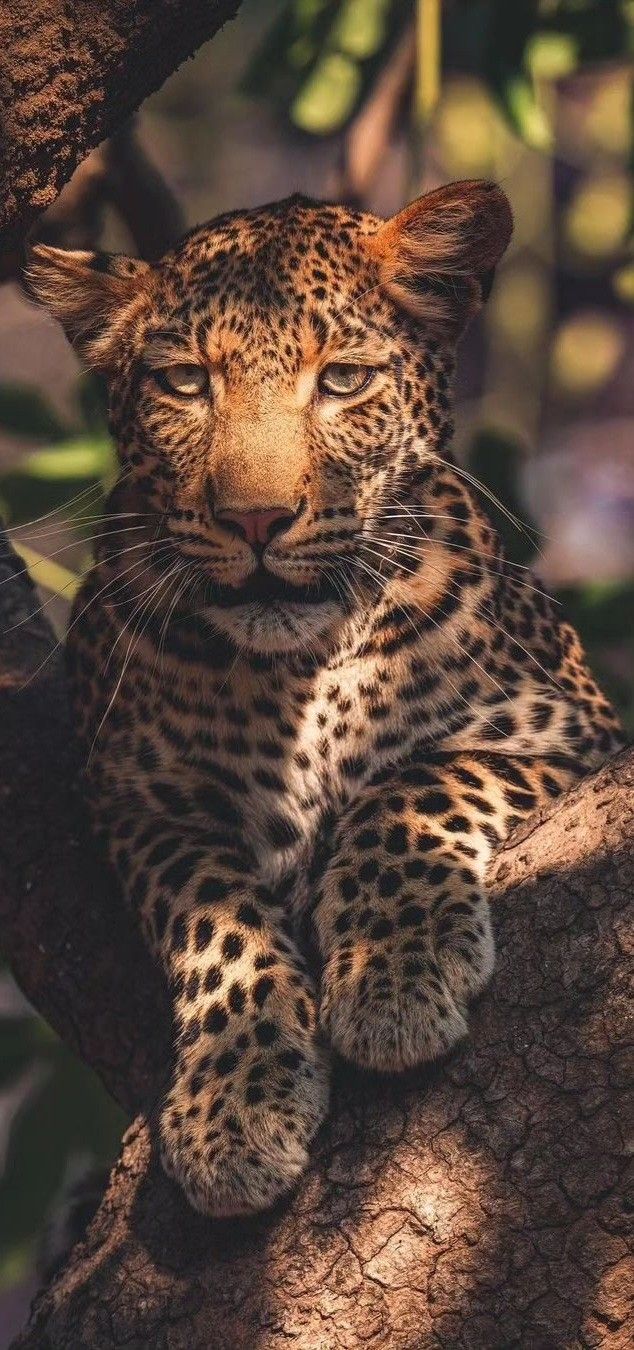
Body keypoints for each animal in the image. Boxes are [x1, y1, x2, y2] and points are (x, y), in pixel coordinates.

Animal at [27, 174, 620, 1220]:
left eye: (342, 381)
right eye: (187, 385)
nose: (257, 519)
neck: (299, 668)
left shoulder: (570, 732)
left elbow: (409, 790)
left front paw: (394, 979)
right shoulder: (139, 804)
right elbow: (215, 919)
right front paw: (235, 1103)